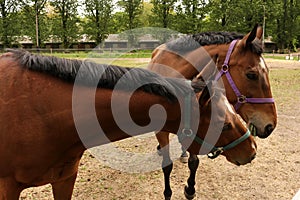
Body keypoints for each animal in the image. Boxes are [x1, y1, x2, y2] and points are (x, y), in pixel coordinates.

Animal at [148, 24, 276, 199]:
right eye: (251, 75)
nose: (270, 125)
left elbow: (194, 162)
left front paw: (190, 189)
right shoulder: (161, 130)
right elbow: (167, 166)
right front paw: (168, 193)